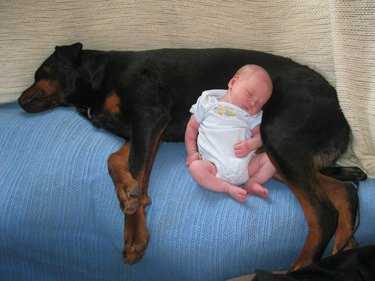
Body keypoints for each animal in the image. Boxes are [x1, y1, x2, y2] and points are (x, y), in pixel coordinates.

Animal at [19, 42, 360, 270]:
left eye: (40, 72)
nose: (20, 101)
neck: (96, 79)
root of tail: (342, 116)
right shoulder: (140, 131)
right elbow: (117, 161)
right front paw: (128, 191)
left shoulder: (148, 116)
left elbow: (137, 168)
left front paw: (134, 233)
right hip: (272, 153)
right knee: (343, 190)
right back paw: (345, 242)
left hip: (279, 136)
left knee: (322, 213)